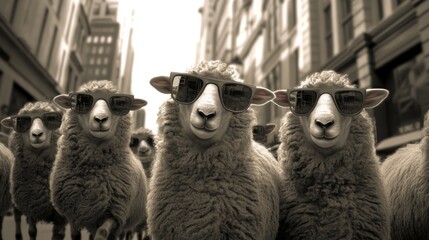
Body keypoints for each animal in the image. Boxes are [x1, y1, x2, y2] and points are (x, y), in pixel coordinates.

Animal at [0, 101, 77, 238]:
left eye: (51, 118)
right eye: (22, 121)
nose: (36, 134)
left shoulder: (60, 215)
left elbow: (58, 234)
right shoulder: (31, 205)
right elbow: (32, 231)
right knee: (17, 217)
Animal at [50, 80, 149, 240]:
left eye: (119, 103)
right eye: (82, 101)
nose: (101, 119)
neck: (92, 169)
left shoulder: (114, 213)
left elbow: (102, 232)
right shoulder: (74, 213)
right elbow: (75, 235)